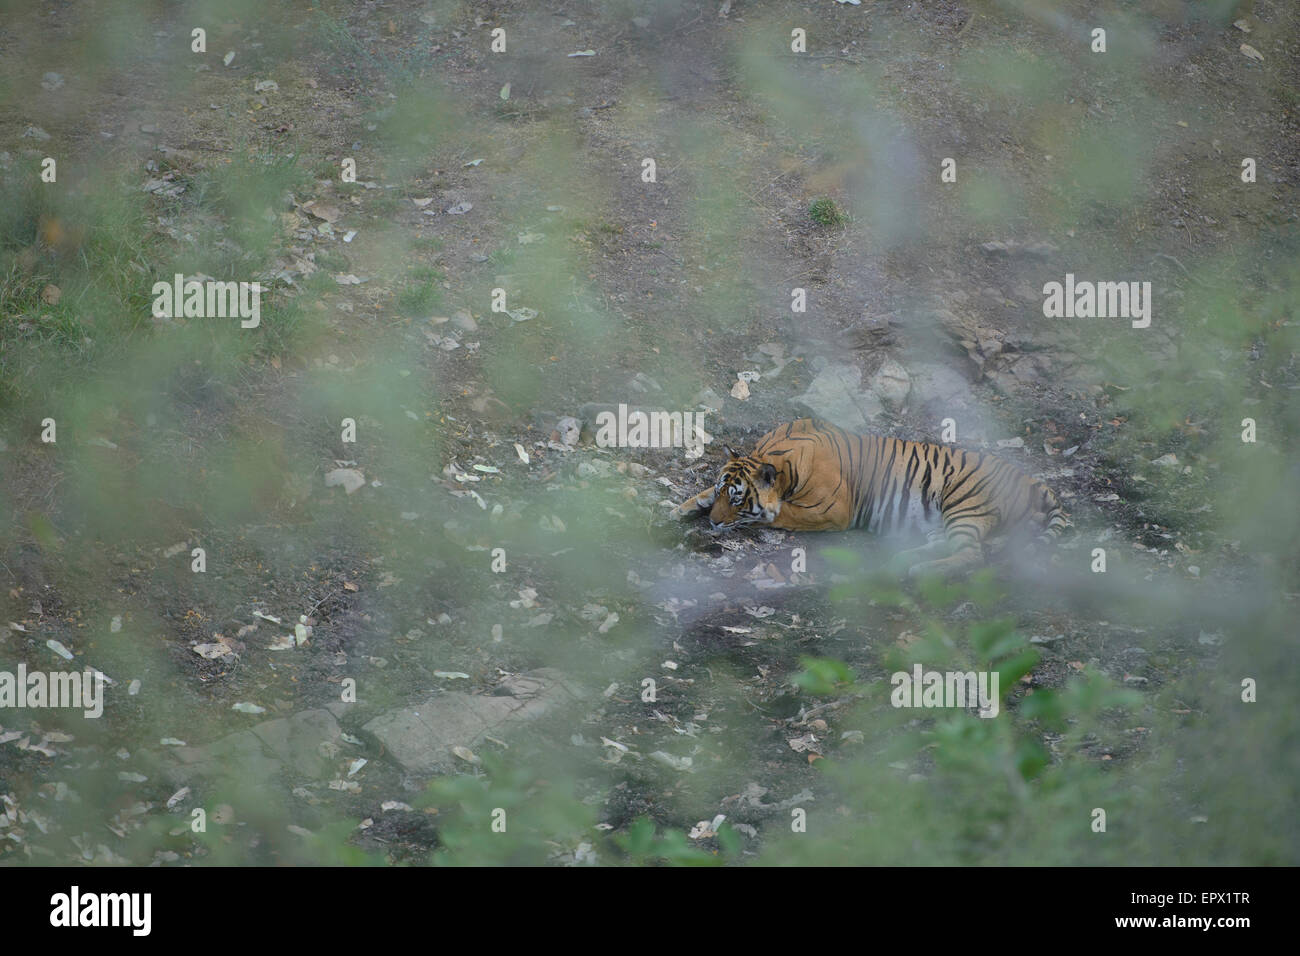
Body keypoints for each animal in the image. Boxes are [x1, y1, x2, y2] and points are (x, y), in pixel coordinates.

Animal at [681, 416, 1066, 574]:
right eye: (723, 493)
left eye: (737, 501)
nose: (713, 523)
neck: (776, 458)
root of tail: (1029, 478)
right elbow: (701, 492)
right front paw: (683, 507)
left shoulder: (832, 511)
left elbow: (781, 514)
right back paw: (904, 559)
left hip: (964, 506)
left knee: (972, 554)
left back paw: (921, 570)